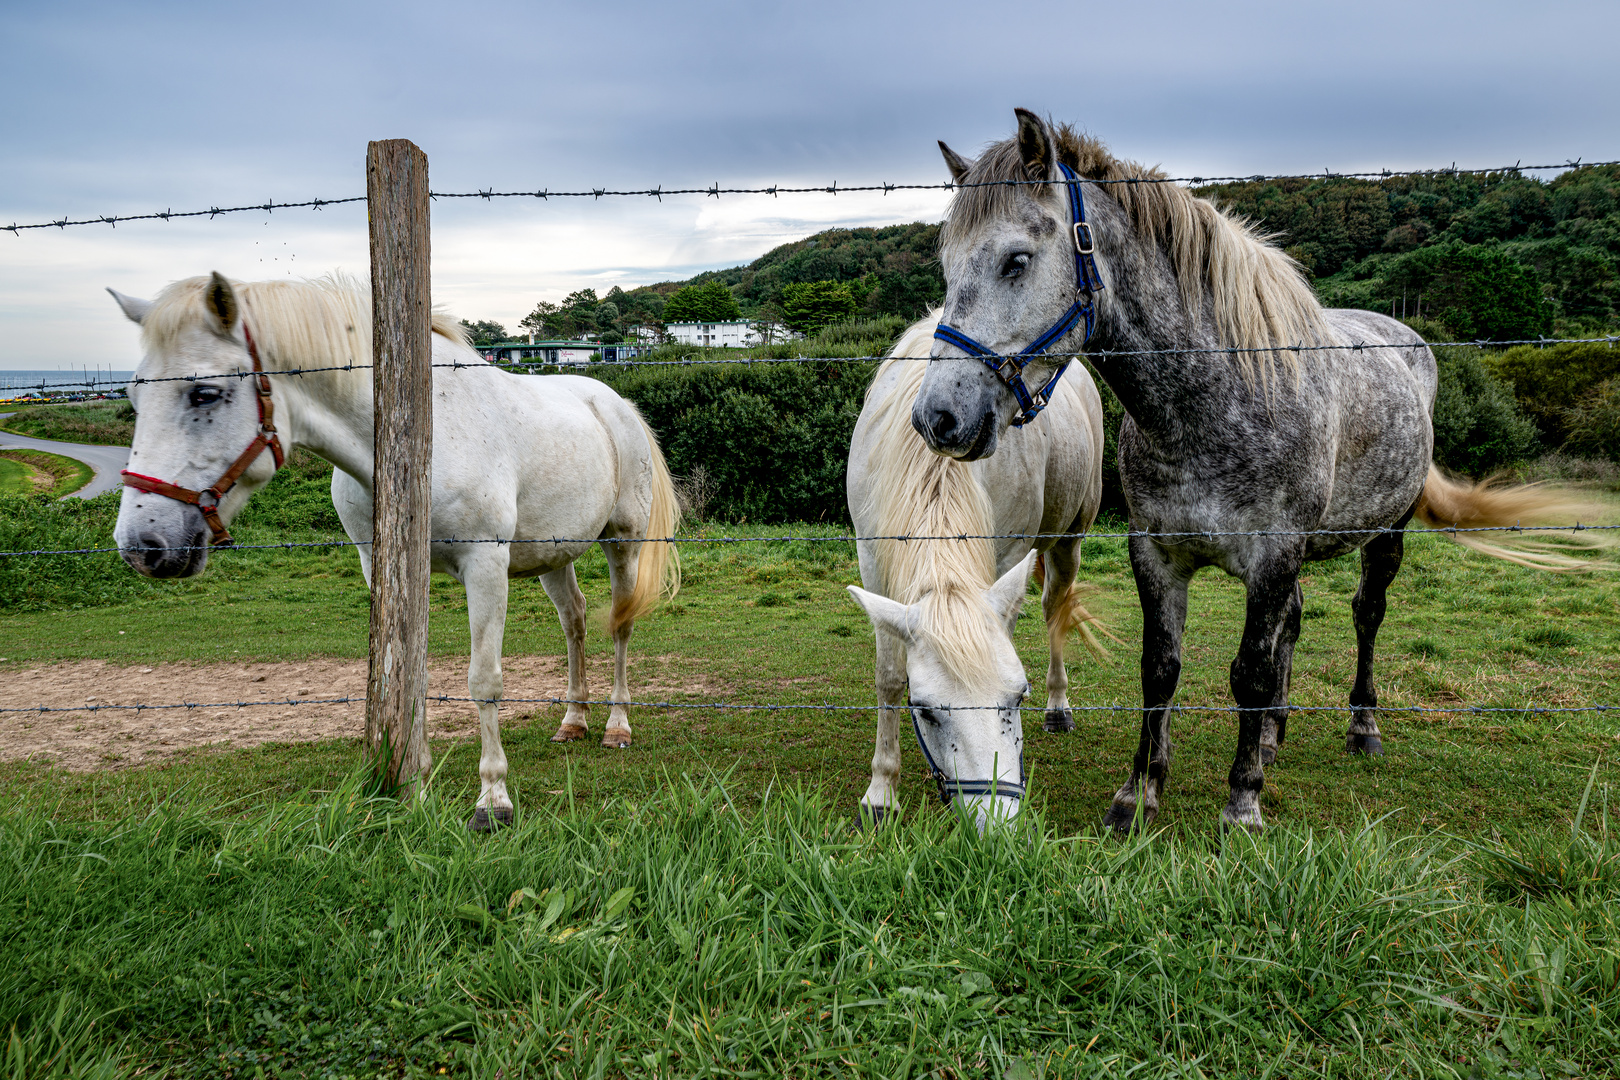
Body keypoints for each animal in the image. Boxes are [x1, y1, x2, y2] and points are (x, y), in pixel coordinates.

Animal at [107, 275, 677, 835]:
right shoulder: (384, 565)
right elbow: (404, 677)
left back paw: (617, 726)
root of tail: (616, 404)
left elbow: (484, 679)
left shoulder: (486, 565)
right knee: (575, 621)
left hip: (623, 543)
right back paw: (573, 721)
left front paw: (493, 800)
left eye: (204, 393)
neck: (421, 432)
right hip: (553, 557)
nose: (143, 546)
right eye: (133, 395)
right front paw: (415, 780)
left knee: (620, 625)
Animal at [842, 317, 1108, 835]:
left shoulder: (1008, 555)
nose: (997, 824)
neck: (935, 467)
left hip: (1070, 539)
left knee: (1055, 611)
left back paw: (1059, 706)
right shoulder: (872, 561)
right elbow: (888, 677)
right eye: (925, 711)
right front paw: (881, 792)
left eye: (1018, 698)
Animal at [907, 110, 1600, 835]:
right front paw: (1139, 794)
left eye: (1016, 260)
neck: (1211, 408)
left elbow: (1249, 673)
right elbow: (1162, 670)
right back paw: (1271, 736)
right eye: (947, 265)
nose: (938, 418)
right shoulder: (1157, 555)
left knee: (1365, 616)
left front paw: (1242, 803)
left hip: (1384, 535)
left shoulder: (1271, 557)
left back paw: (1361, 728)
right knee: (1291, 627)